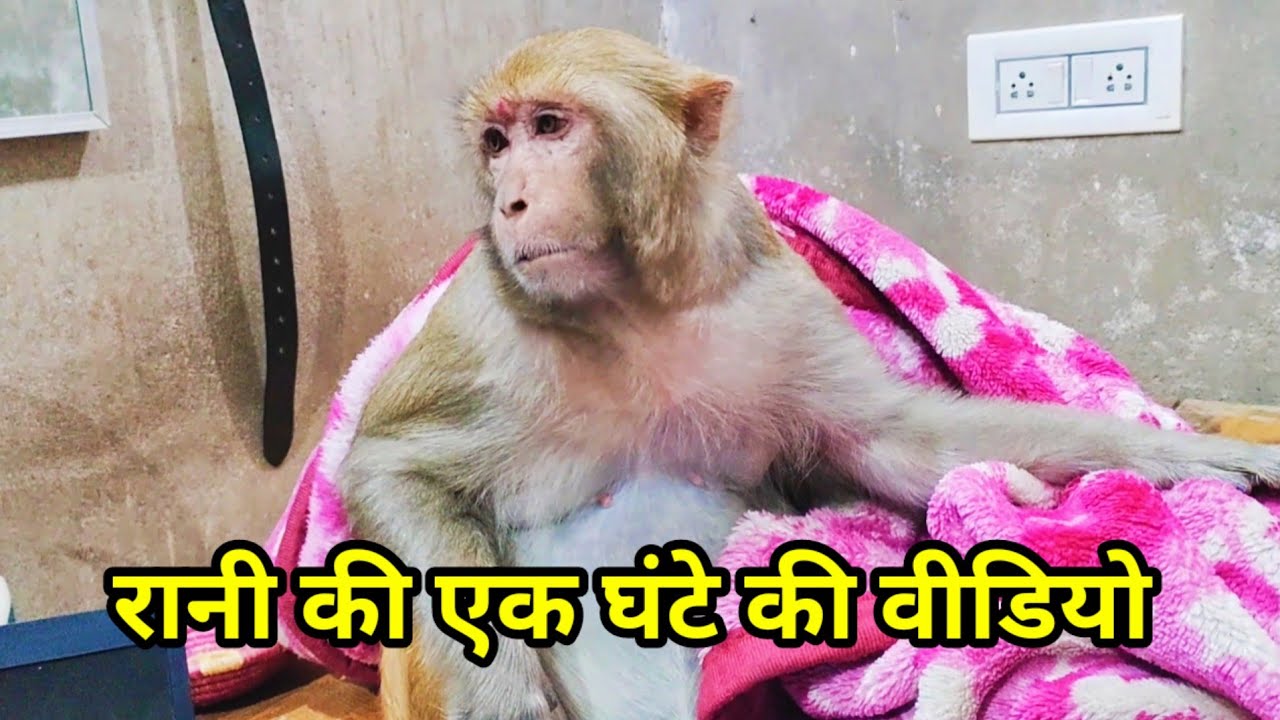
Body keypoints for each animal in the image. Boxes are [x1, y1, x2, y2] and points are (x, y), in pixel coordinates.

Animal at [336, 27, 1280, 720]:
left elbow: (902, 445)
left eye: (550, 126)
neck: (636, 303)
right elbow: (388, 470)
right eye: (496, 142)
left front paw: (1211, 455)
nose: (512, 201)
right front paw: (505, 700)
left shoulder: (781, 305)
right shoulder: (486, 329)